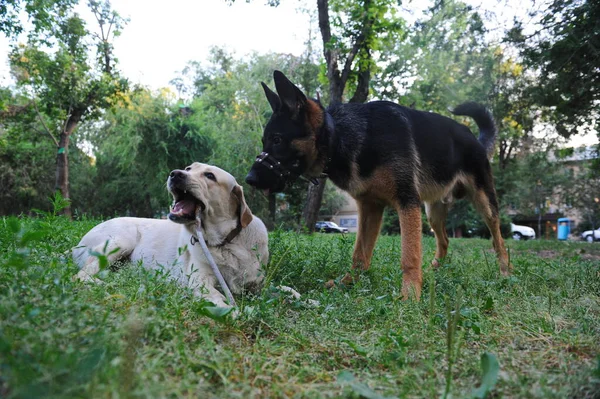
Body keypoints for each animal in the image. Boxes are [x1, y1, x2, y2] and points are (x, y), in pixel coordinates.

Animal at [72, 161, 268, 308]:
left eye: (210, 176)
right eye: (189, 168)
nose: (175, 173)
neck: (224, 243)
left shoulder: (257, 285)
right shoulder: (200, 279)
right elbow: (218, 297)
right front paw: (232, 313)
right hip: (121, 241)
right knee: (81, 275)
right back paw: (106, 285)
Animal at [245, 70, 510, 300]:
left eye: (277, 140)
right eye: (265, 140)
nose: (249, 179)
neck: (341, 136)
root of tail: (475, 138)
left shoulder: (407, 203)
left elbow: (409, 255)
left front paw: (410, 295)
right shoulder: (370, 208)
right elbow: (359, 254)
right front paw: (347, 283)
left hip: (485, 204)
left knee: (499, 242)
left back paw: (505, 275)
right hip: (432, 212)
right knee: (444, 240)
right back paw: (435, 271)